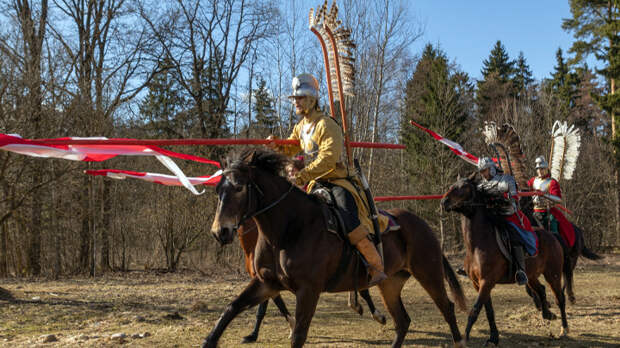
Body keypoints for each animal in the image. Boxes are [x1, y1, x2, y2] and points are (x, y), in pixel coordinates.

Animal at [235, 219, 386, 344]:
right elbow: (278, 304)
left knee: (364, 290)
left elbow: (262, 309)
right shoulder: (267, 282)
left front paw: (254, 335)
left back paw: (376, 314)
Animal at [440, 174, 568, 346]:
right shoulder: (478, 284)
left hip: (552, 273)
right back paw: (547, 314)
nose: (444, 202)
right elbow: (489, 311)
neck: (478, 243)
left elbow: (475, 310)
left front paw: (465, 338)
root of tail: (552, 236)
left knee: (559, 298)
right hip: (531, 275)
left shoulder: (486, 282)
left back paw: (564, 329)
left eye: (464, 188)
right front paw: (493, 338)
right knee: (540, 289)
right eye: (452, 186)